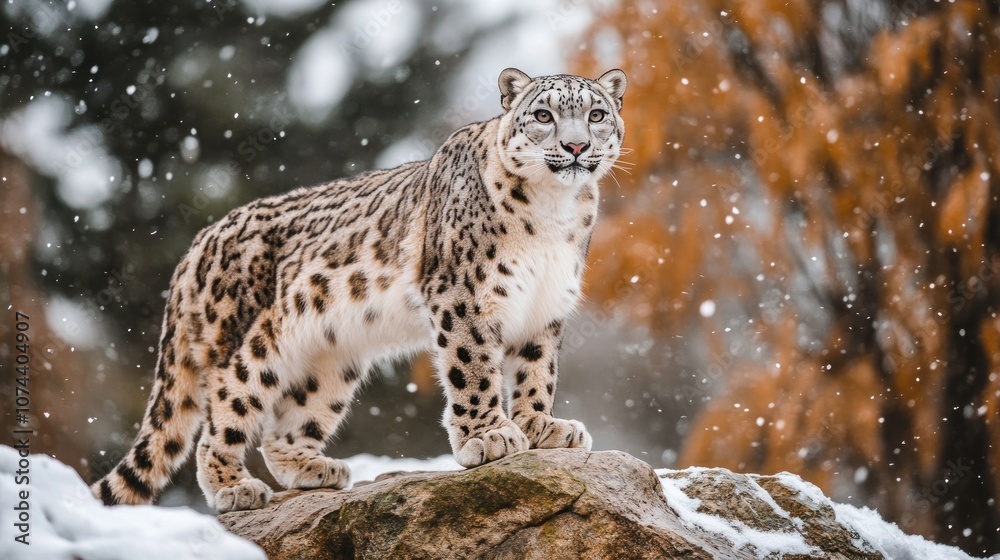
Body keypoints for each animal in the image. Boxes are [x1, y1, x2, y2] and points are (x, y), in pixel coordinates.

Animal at [91, 67, 627, 512]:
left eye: (596, 114)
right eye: (543, 115)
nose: (577, 147)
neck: (552, 214)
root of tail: (197, 244)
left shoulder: (545, 306)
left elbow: (538, 371)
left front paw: (544, 428)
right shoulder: (462, 295)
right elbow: (473, 368)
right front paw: (490, 435)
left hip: (331, 361)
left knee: (285, 429)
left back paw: (316, 469)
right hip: (251, 348)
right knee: (223, 414)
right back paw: (234, 488)